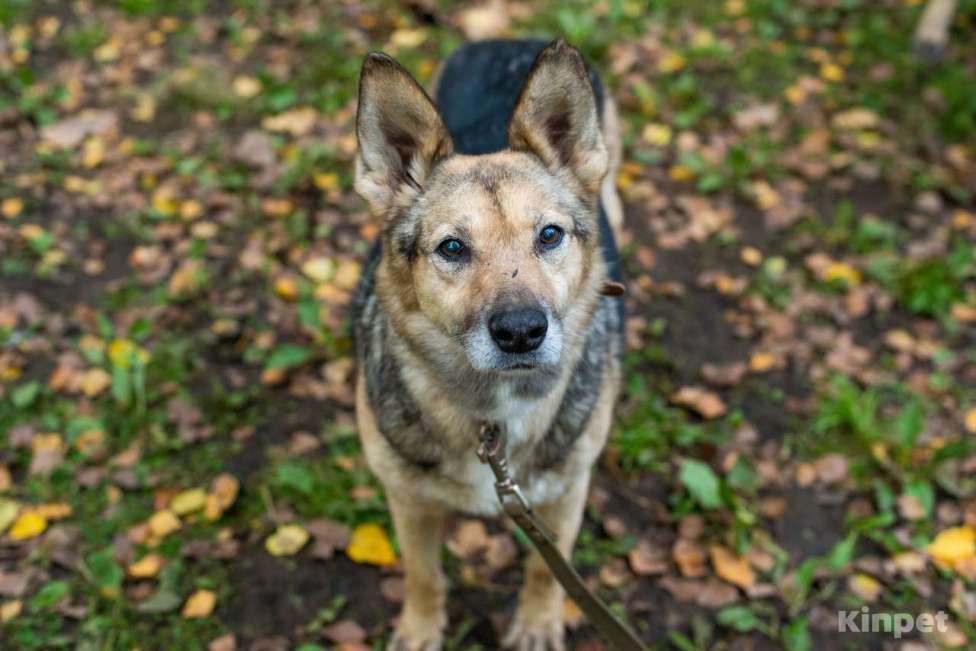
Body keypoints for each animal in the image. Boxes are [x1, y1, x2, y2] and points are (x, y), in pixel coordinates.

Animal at [350, 38, 624, 648]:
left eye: (550, 235)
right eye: (452, 247)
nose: (521, 331)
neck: (493, 413)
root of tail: (511, 39)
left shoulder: (567, 492)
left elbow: (547, 571)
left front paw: (538, 624)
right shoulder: (407, 499)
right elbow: (423, 574)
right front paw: (420, 629)